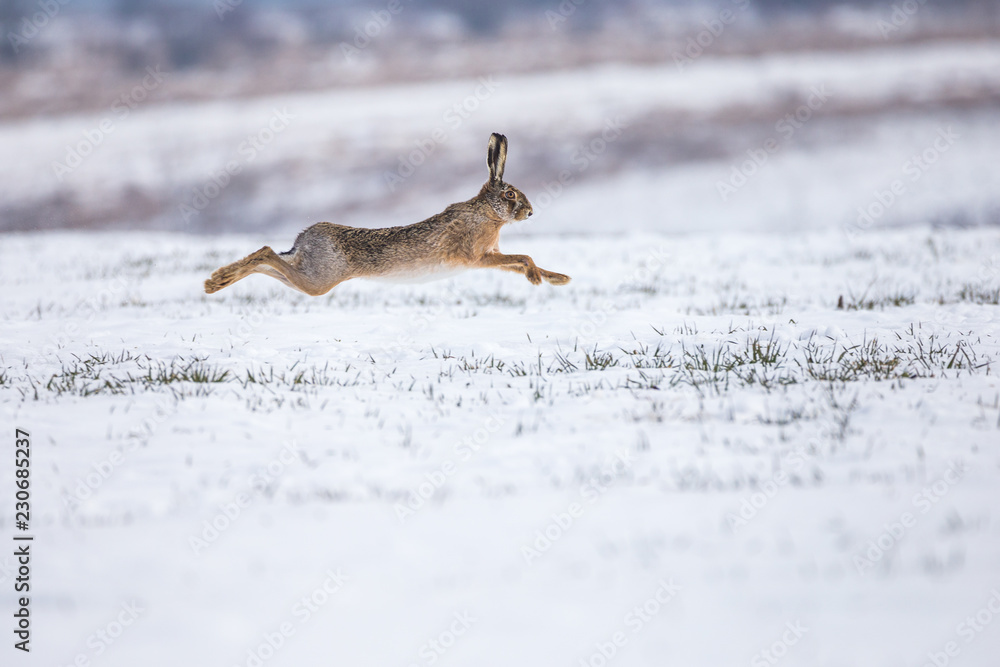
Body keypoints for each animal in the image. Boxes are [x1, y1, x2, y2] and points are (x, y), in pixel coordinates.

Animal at [204, 132, 570, 296]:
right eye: (510, 195)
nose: (530, 212)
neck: (486, 213)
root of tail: (303, 240)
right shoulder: (477, 256)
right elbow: (523, 257)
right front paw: (537, 279)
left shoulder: (491, 256)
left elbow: (519, 261)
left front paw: (557, 278)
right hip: (320, 280)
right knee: (266, 253)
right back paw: (215, 282)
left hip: (308, 273)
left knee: (268, 261)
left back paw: (216, 281)